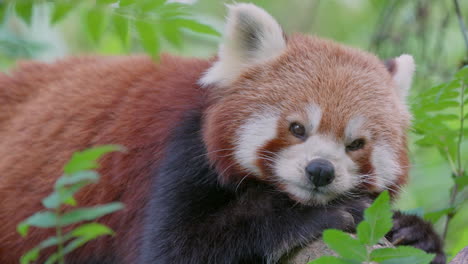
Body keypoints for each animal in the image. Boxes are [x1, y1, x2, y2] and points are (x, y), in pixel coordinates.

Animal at [0, 2, 444, 264]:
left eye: (355, 145)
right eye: (297, 128)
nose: (320, 171)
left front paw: (413, 232)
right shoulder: (178, 150)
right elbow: (177, 250)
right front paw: (313, 216)